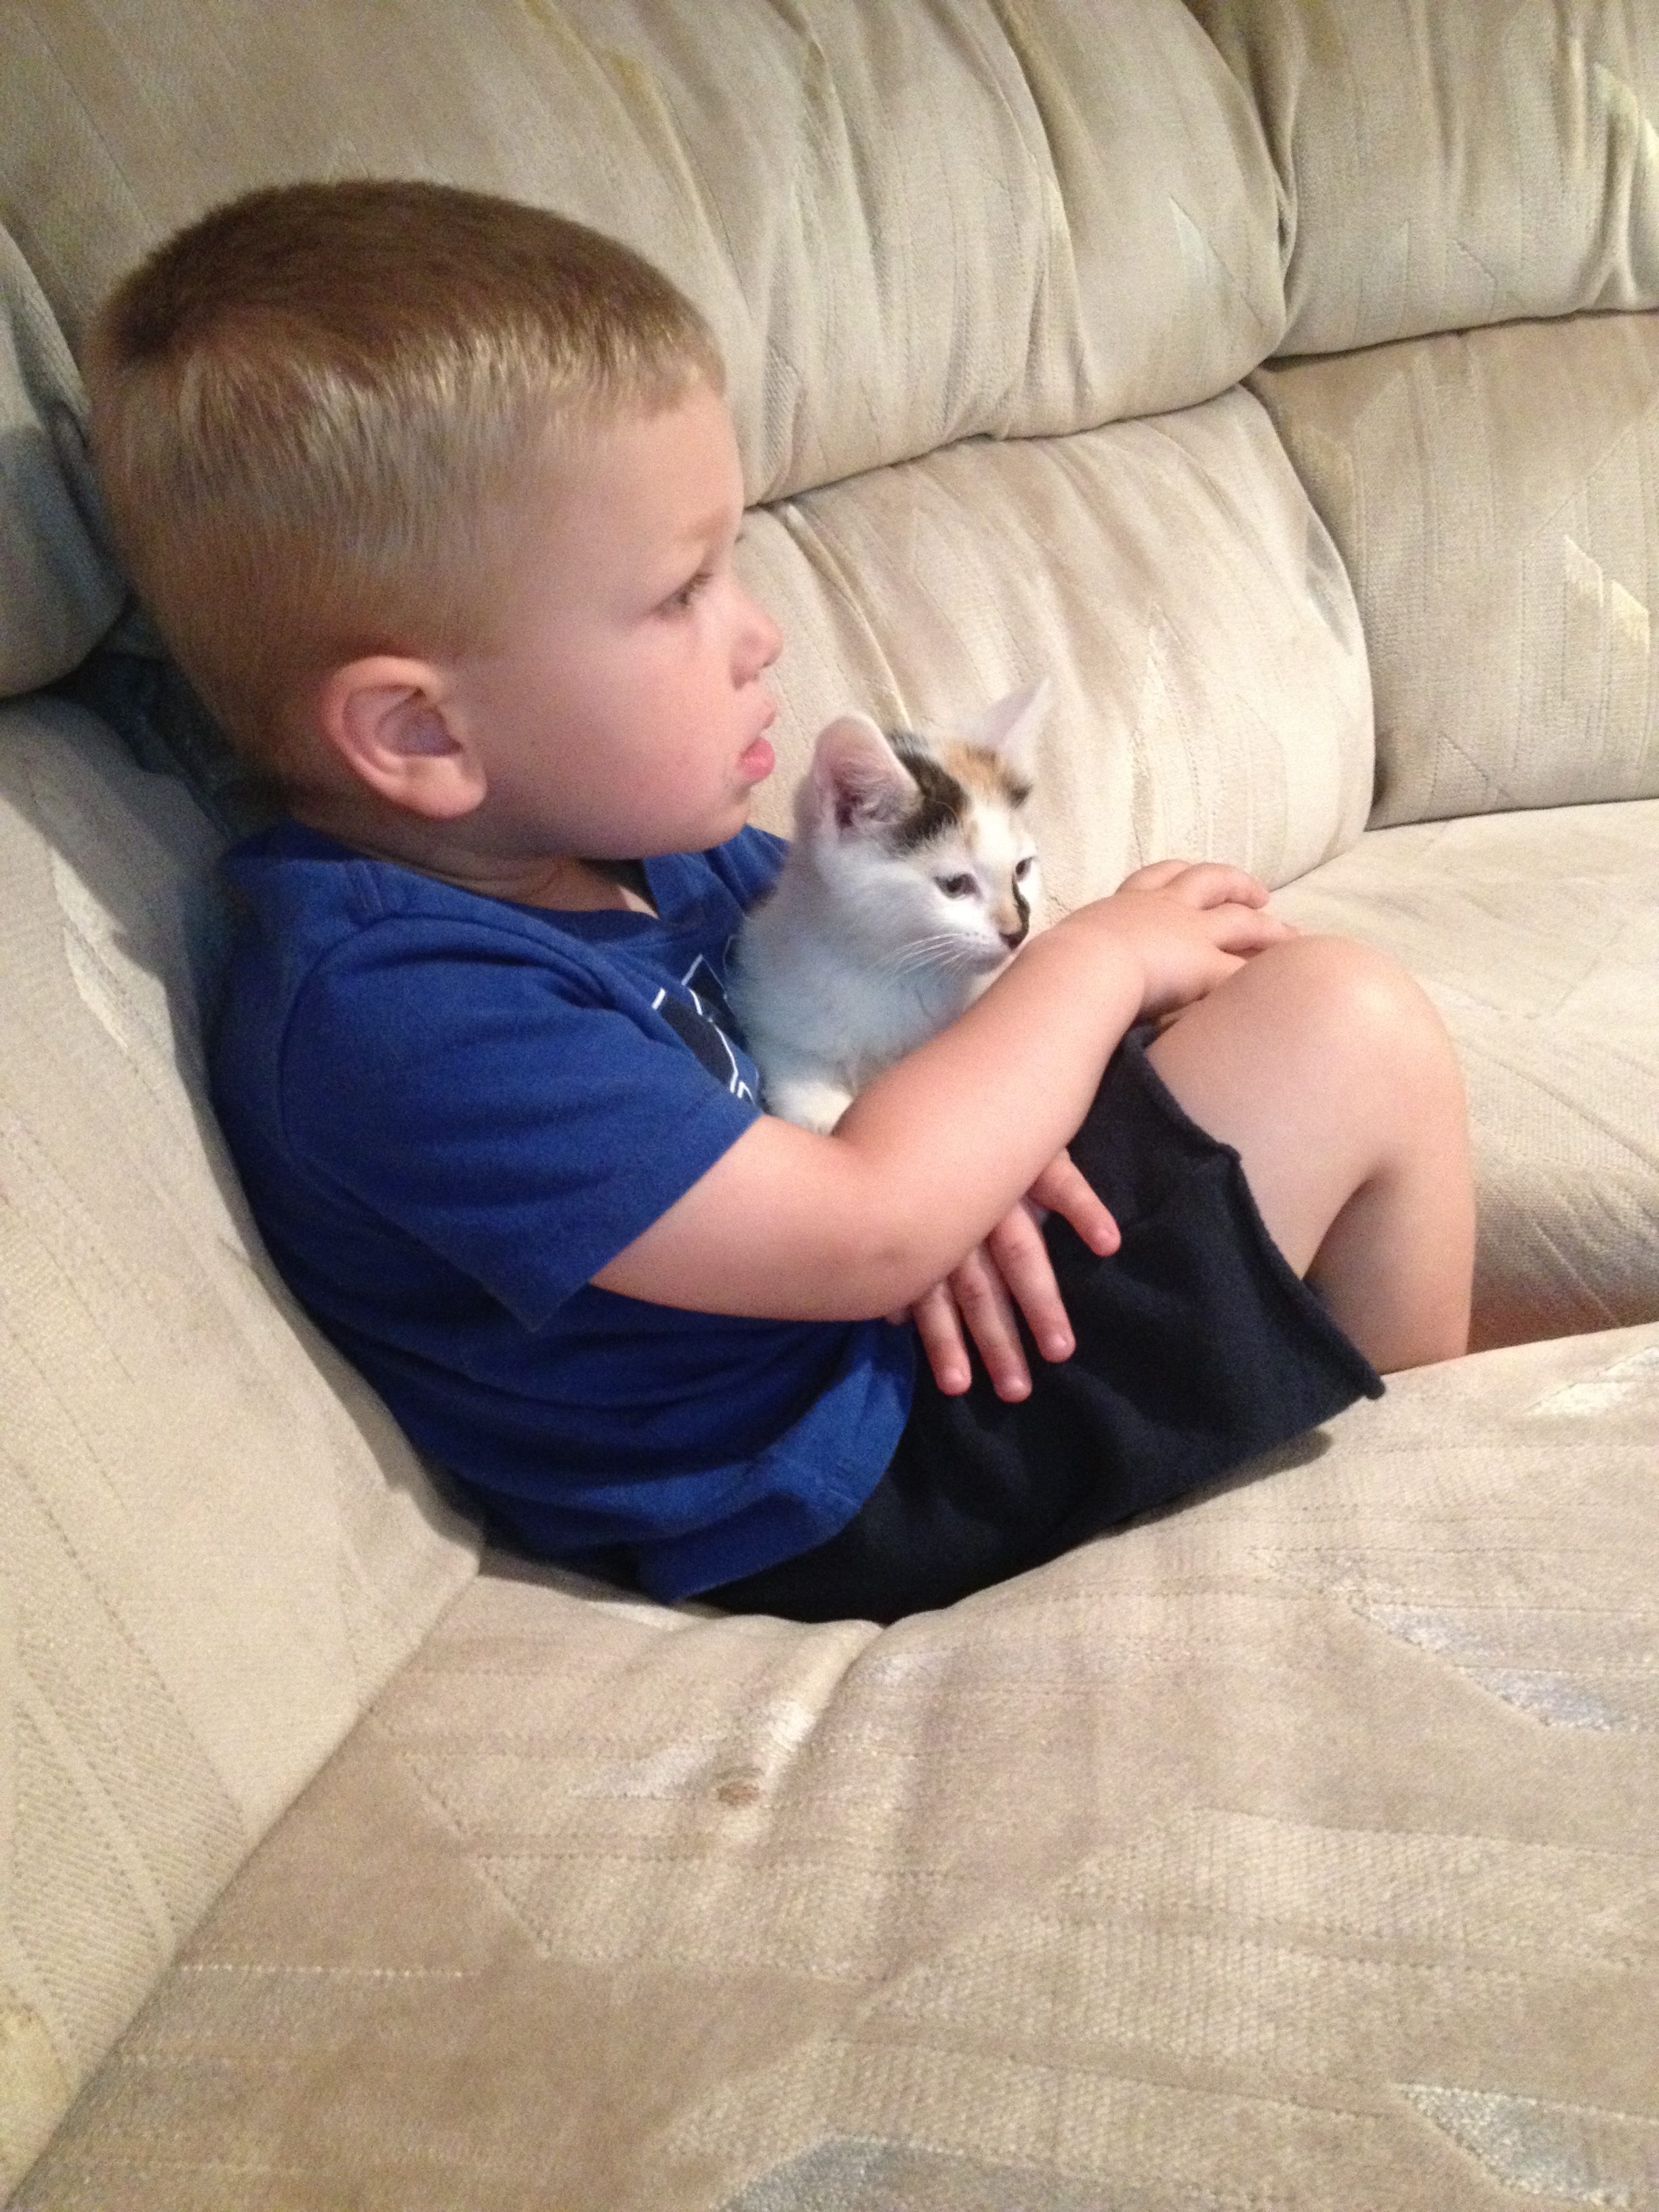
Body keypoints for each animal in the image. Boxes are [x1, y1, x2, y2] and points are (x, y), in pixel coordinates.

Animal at [729, 679, 1050, 1132]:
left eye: (1021, 870)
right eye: (955, 885)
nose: (1016, 932)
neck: (898, 975)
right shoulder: (773, 1018)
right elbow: (812, 1101)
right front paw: (825, 1115)